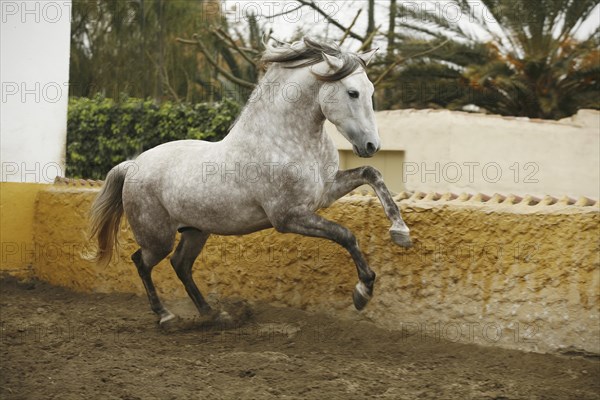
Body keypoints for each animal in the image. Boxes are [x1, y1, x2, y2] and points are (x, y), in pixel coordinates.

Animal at [90, 37, 412, 324]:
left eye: (371, 91)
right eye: (353, 93)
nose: (371, 146)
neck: (285, 140)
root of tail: (132, 165)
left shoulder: (325, 192)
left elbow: (372, 174)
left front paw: (401, 232)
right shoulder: (288, 217)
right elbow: (345, 234)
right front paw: (362, 292)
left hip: (196, 231)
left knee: (180, 265)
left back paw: (213, 314)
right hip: (158, 237)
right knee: (141, 262)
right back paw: (166, 316)